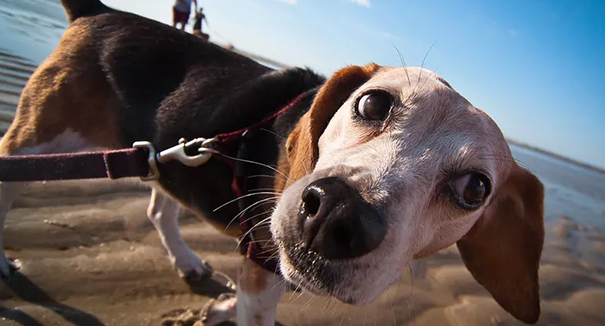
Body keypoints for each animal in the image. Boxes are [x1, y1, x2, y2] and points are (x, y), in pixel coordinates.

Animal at [0, 0, 544, 326]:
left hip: (167, 158)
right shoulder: (262, 274)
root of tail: (100, 11)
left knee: (159, 209)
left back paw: (187, 262)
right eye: (373, 104)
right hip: (38, 140)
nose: (337, 212)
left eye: (475, 190)